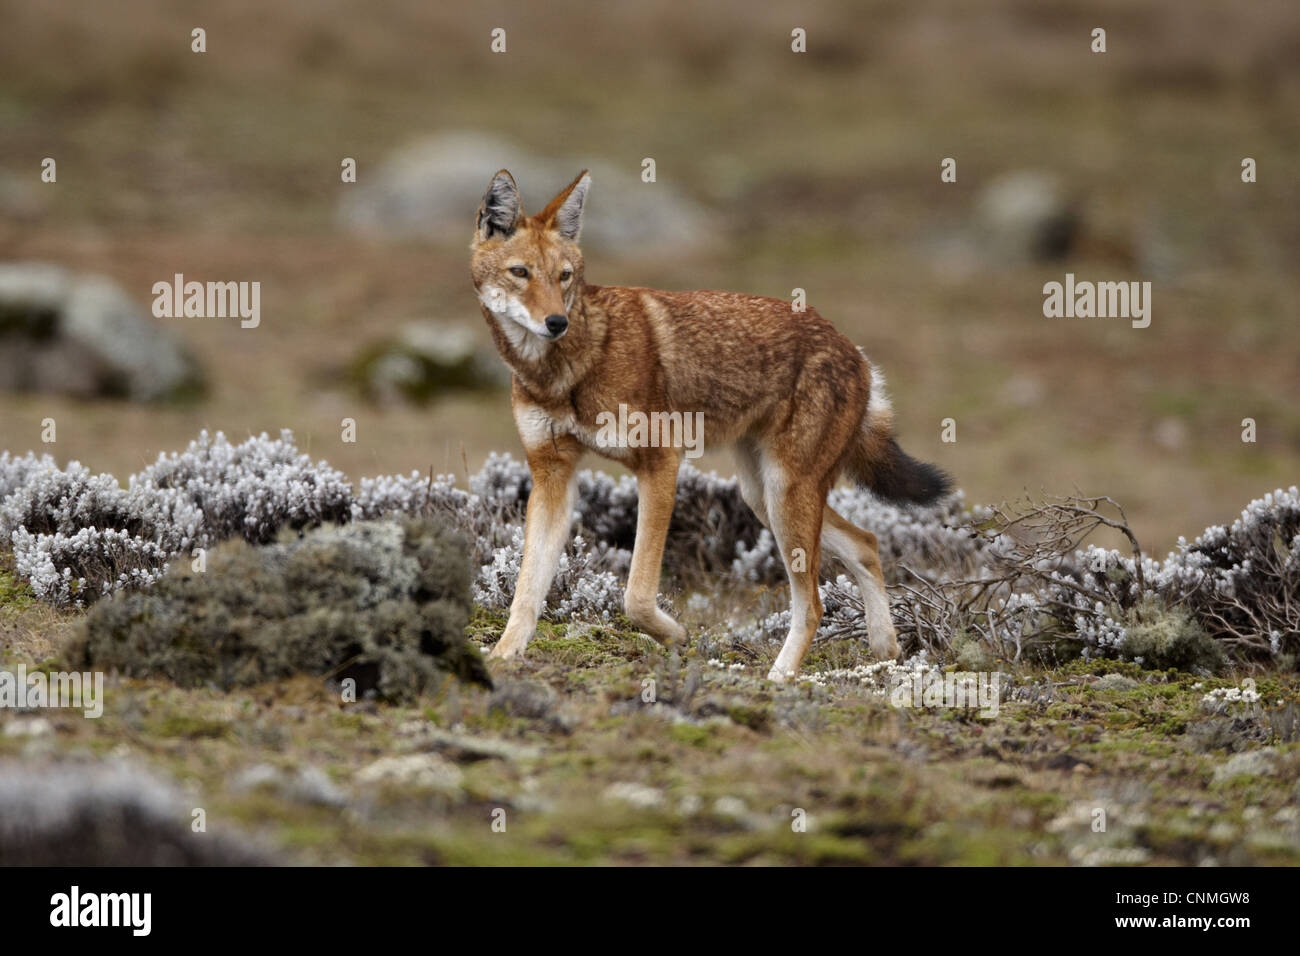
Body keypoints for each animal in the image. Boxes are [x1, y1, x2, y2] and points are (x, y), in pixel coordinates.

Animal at [473, 170, 951, 681]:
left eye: (564, 277)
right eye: (520, 273)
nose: (556, 322)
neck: (565, 370)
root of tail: (854, 350)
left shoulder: (661, 463)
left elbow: (635, 596)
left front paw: (676, 636)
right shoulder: (552, 477)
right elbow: (526, 592)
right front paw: (503, 657)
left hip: (785, 499)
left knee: (815, 604)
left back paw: (780, 678)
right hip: (764, 498)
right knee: (868, 543)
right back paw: (885, 651)